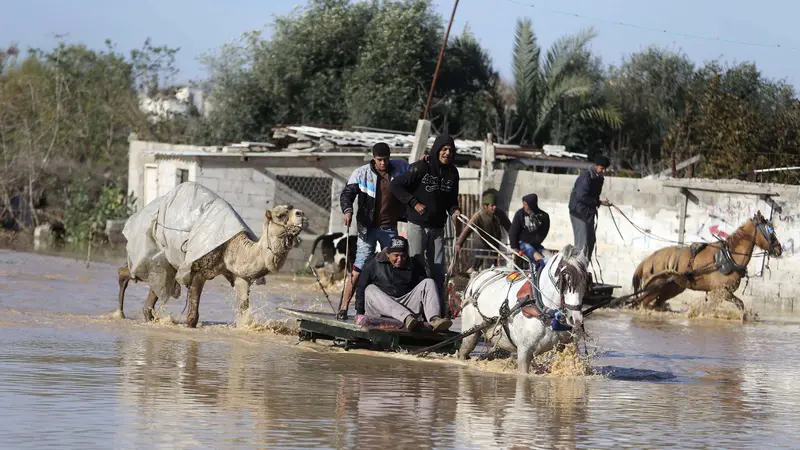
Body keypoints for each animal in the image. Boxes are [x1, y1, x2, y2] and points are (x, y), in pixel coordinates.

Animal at [117, 204, 308, 326]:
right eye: (281, 215)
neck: (232, 246)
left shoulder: (238, 275)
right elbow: (192, 317)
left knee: (156, 288)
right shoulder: (199, 270)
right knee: (129, 272)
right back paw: (119, 314)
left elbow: (244, 311)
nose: (302, 215)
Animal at [456, 244, 588, 374]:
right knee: (463, 352)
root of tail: (479, 274)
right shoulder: (525, 352)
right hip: (470, 334)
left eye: (586, 280)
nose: (575, 318)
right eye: (564, 279)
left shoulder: (566, 348)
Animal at [632, 211, 780, 312]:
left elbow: (740, 305)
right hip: (654, 288)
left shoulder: (724, 293)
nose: (779, 249)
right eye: (769, 230)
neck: (728, 257)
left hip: (672, 287)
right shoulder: (721, 291)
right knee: (642, 302)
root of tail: (647, 260)